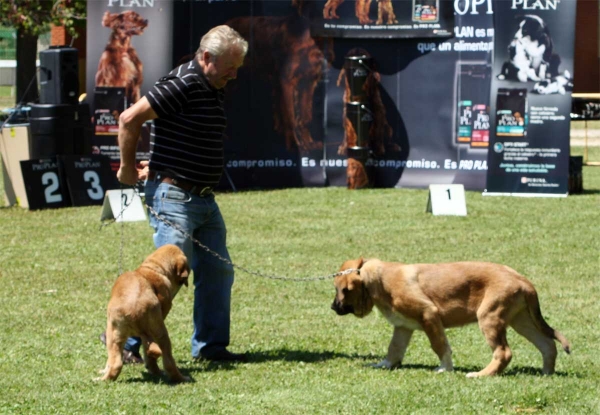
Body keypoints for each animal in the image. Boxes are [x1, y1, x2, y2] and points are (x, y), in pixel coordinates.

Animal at [332, 258, 572, 378]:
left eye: (340, 290)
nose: (333, 307)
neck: (378, 280)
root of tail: (523, 280)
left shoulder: (429, 315)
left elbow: (439, 345)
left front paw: (445, 368)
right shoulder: (402, 327)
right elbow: (394, 349)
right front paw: (384, 365)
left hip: (489, 317)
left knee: (504, 352)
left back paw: (481, 375)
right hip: (521, 320)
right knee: (547, 344)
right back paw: (546, 373)